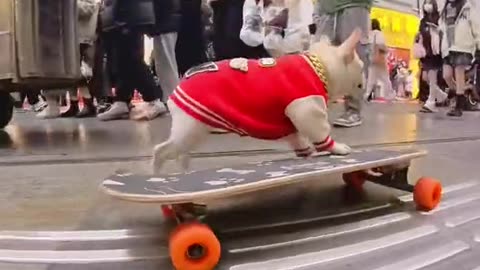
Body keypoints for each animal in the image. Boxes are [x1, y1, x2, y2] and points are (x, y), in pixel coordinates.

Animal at [153, 29, 364, 173]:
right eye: (361, 66)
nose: (364, 73)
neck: (321, 65)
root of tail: (180, 85)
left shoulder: (290, 123)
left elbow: (297, 138)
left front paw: (306, 152)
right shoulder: (306, 107)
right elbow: (320, 132)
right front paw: (337, 148)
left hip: (196, 130)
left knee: (182, 153)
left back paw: (183, 172)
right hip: (188, 131)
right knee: (162, 150)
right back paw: (158, 173)